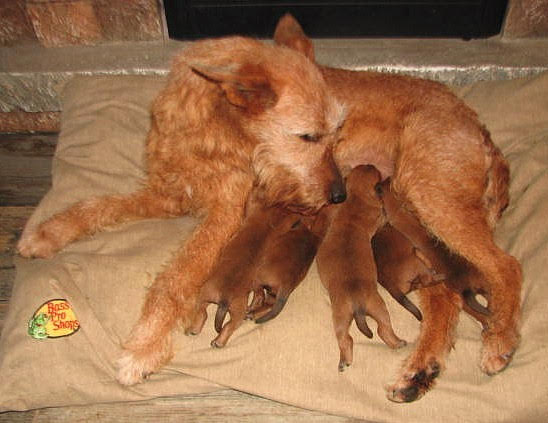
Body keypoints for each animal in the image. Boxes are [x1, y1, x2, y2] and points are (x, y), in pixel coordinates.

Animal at [316, 166, 406, 372]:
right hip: (378, 306)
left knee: (346, 338)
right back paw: (398, 343)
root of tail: (357, 302)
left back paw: (344, 360)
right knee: (383, 330)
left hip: (343, 316)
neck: (355, 198)